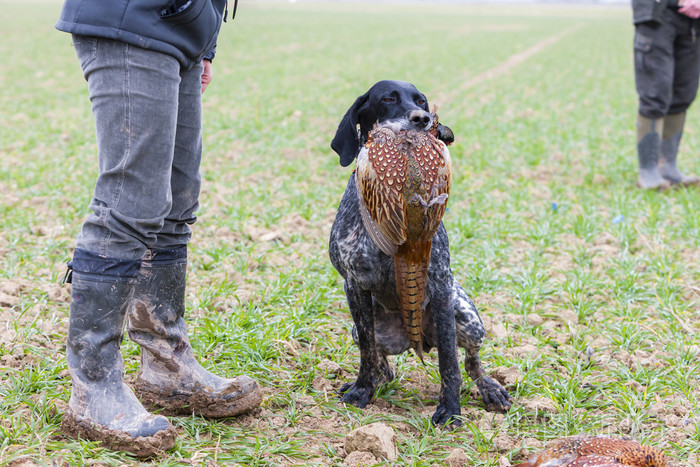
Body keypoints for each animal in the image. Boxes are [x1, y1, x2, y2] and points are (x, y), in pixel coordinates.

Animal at [328, 80, 516, 428]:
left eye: (422, 101)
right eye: (388, 98)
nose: (424, 119)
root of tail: (418, 341)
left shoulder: (440, 285)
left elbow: (449, 363)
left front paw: (450, 408)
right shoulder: (354, 285)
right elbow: (367, 353)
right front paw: (362, 389)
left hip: (467, 317)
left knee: (470, 361)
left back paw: (490, 388)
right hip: (360, 327)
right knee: (378, 355)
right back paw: (379, 377)